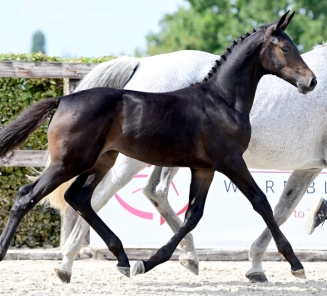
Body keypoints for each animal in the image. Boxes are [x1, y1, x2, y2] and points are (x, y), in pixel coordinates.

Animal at [0, 11, 318, 280]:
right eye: (285, 47)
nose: (311, 81)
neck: (221, 101)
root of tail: (63, 99)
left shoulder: (204, 169)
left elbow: (193, 215)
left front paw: (149, 262)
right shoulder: (230, 161)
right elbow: (261, 202)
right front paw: (296, 265)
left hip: (101, 160)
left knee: (79, 198)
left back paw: (122, 259)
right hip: (69, 162)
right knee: (27, 196)